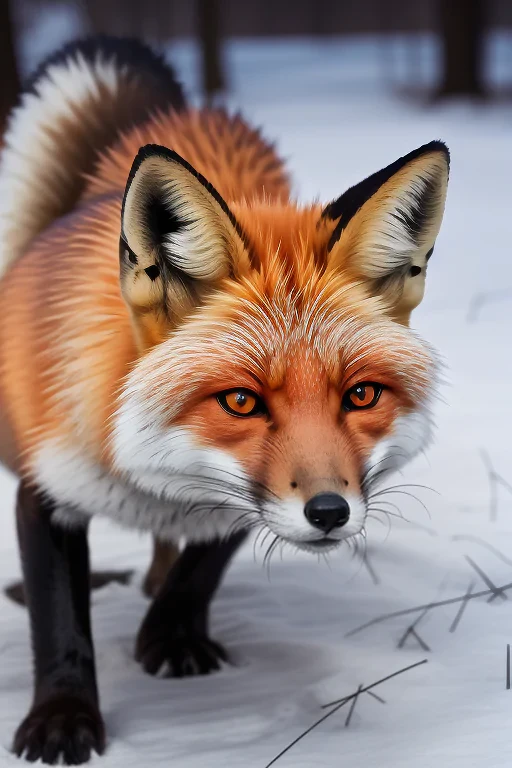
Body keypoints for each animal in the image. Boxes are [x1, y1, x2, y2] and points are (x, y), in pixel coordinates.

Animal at [0, 36, 449, 765]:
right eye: (240, 402)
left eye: (361, 395)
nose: (330, 513)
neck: (156, 478)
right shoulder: (47, 487)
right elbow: (60, 619)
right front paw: (63, 720)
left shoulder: (246, 504)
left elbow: (200, 567)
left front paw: (171, 636)